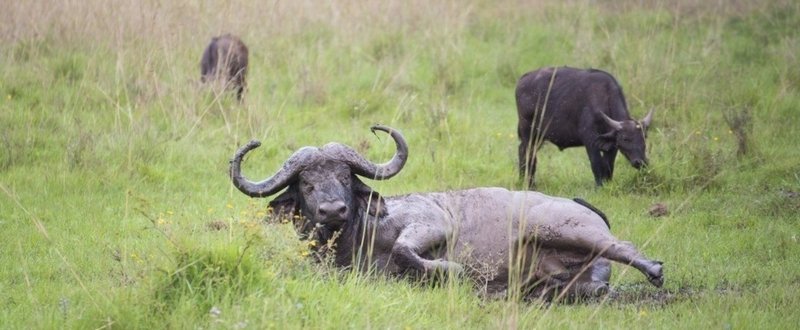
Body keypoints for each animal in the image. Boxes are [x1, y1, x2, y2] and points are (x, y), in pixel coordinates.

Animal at [230, 124, 664, 300]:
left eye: (343, 177)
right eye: (306, 184)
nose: (333, 209)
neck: (357, 235)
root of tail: (577, 203)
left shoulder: (430, 222)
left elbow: (406, 250)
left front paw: (452, 271)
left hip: (562, 228)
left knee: (623, 246)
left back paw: (655, 270)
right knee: (593, 283)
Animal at [516, 65, 652, 187]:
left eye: (644, 137)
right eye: (625, 139)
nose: (640, 162)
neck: (603, 99)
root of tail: (523, 79)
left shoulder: (612, 146)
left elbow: (608, 165)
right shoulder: (590, 141)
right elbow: (596, 164)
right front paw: (599, 186)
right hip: (529, 133)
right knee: (527, 153)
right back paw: (529, 184)